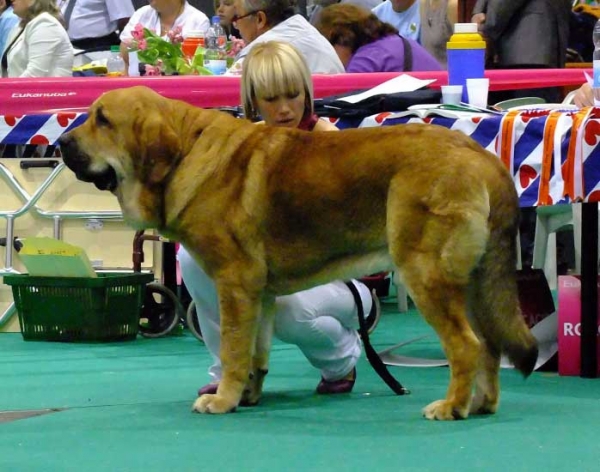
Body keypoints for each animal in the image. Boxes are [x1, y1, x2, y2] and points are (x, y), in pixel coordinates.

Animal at [59, 86, 540, 418]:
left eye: (103, 120)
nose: (62, 143)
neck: (184, 152)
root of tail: (482, 156)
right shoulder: (260, 294)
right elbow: (256, 353)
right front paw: (247, 396)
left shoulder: (234, 284)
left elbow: (234, 350)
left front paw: (223, 400)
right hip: (473, 282)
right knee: (489, 345)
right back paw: (479, 405)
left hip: (426, 275)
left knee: (466, 345)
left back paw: (451, 407)